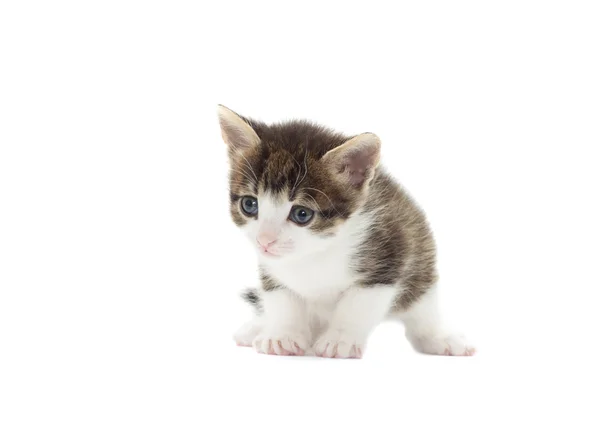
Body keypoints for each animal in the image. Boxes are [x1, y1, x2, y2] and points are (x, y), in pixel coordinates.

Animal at [218, 105, 476, 358]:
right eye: (250, 204)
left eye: (302, 214)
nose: (264, 240)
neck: (316, 252)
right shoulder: (271, 269)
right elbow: (282, 298)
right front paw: (283, 335)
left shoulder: (389, 254)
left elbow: (357, 305)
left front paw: (339, 339)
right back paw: (258, 327)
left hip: (421, 261)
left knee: (422, 310)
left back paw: (440, 337)